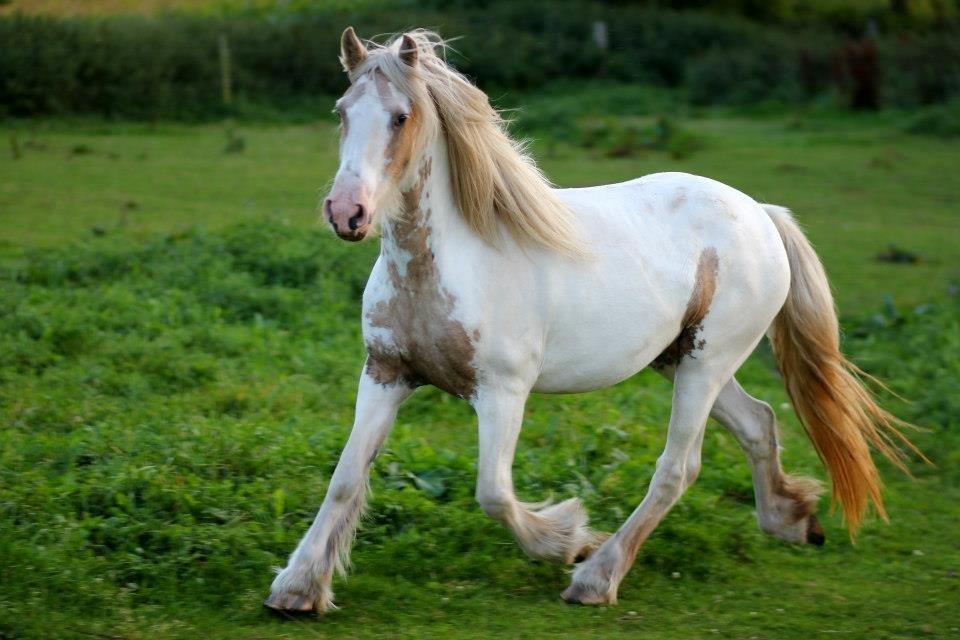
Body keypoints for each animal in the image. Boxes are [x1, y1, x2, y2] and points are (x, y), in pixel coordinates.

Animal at [262, 27, 916, 612]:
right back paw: (791, 520)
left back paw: (596, 577)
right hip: (678, 357)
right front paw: (297, 588)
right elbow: (346, 478)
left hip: (707, 363)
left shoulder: (502, 392)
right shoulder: (385, 373)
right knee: (758, 423)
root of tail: (761, 212)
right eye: (342, 112)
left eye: (400, 117)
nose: (347, 213)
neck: (448, 263)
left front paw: (567, 538)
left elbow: (493, 493)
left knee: (678, 468)